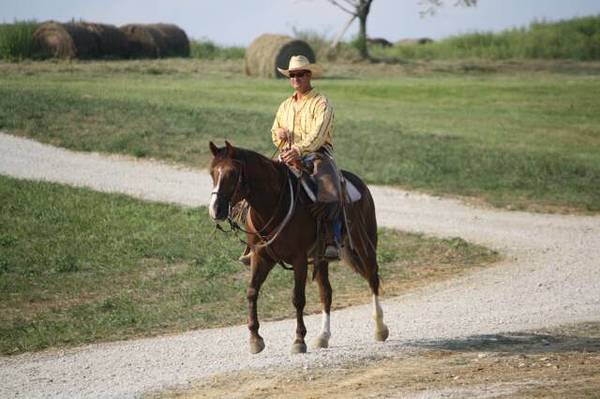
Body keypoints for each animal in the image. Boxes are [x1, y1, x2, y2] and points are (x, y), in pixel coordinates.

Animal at [210, 142, 390, 354]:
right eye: (212, 172)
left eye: (231, 173)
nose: (215, 210)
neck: (273, 205)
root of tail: (359, 183)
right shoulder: (261, 257)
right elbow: (252, 292)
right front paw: (255, 339)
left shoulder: (299, 259)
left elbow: (298, 298)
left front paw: (299, 340)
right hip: (322, 259)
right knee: (326, 293)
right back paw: (323, 336)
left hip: (364, 246)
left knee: (372, 278)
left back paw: (380, 329)